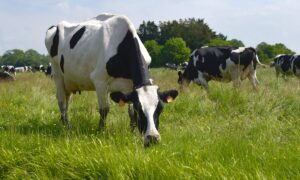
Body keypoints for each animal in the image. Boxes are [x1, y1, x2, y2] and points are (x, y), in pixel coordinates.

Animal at [44, 13, 178, 146]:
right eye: (139, 109)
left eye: (160, 109)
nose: (152, 138)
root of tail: (55, 26)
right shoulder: (99, 80)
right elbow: (104, 109)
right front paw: (101, 131)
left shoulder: (130, 87)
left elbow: (130, 113)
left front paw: (132, 131)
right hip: (57, 74)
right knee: (61, 101)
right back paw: (65, 126)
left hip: (69, 80)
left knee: (67, 101)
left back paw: (67, 123)